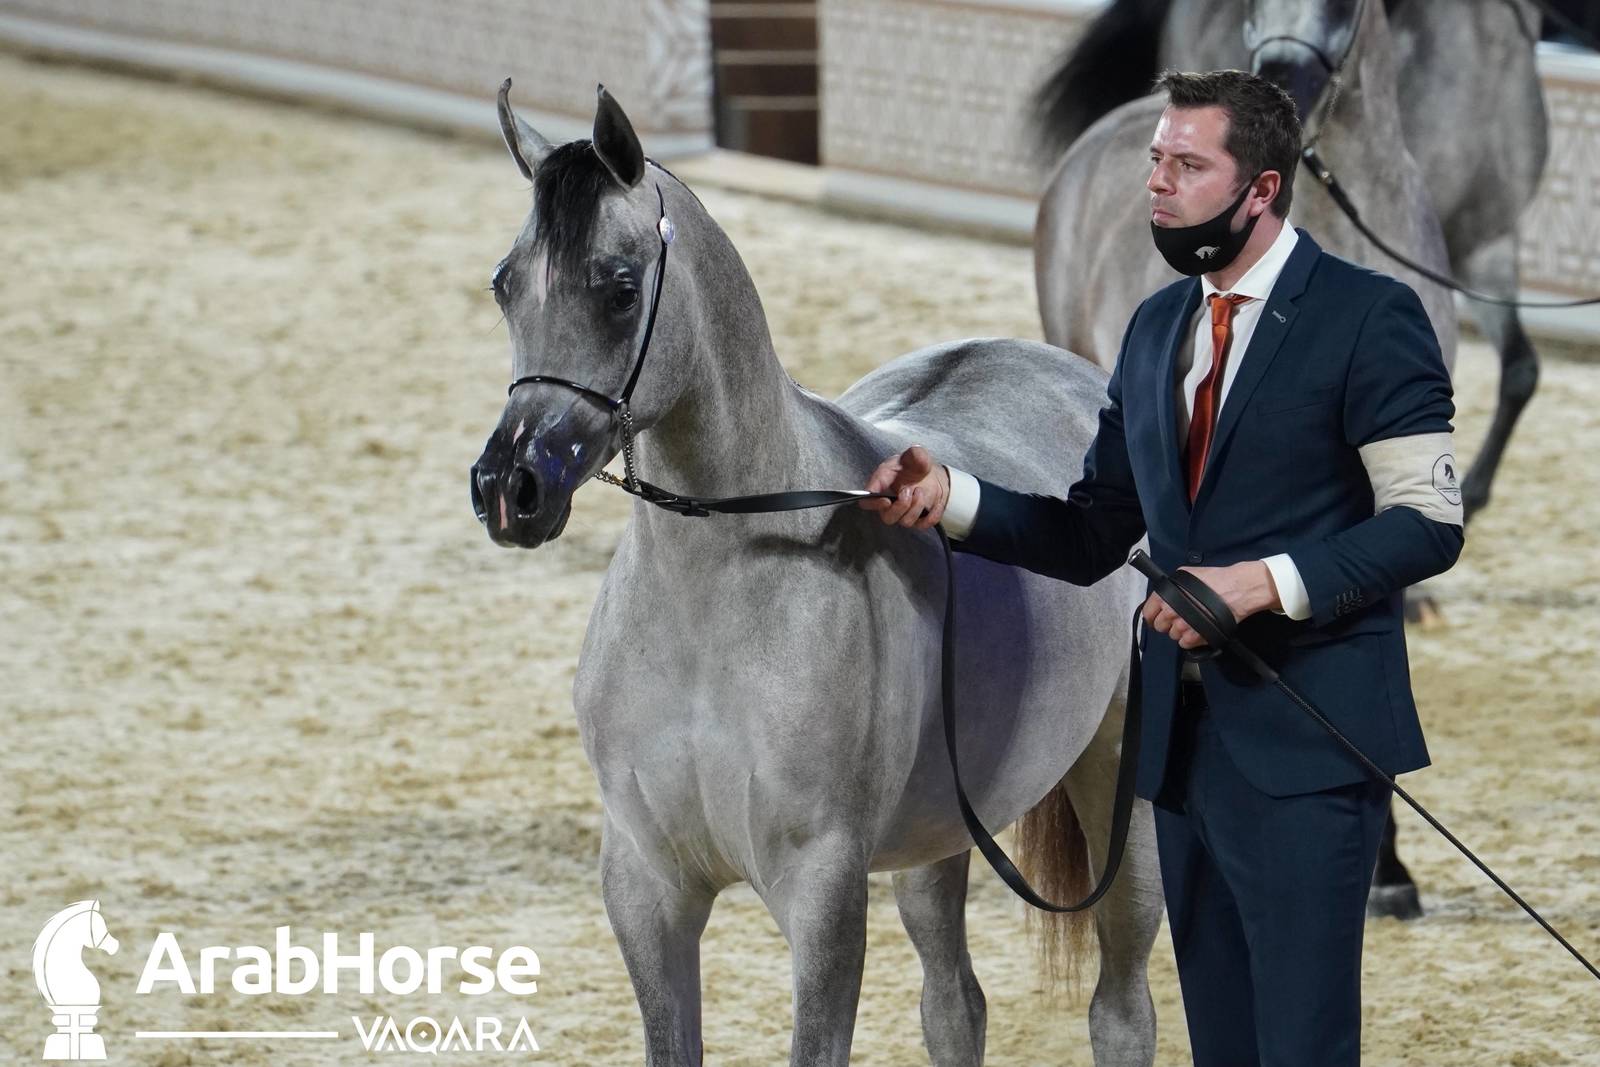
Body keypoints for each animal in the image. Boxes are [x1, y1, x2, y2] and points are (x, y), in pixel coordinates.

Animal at [468, 81, 1164, 1066]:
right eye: (505, 283)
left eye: (618, 287)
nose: (510, 486)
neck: (715, 603)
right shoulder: (646, 890)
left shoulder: (823, 896)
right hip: (941, 833)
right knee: (955, 1004)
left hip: (1118, 796)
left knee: (1121, 1006)